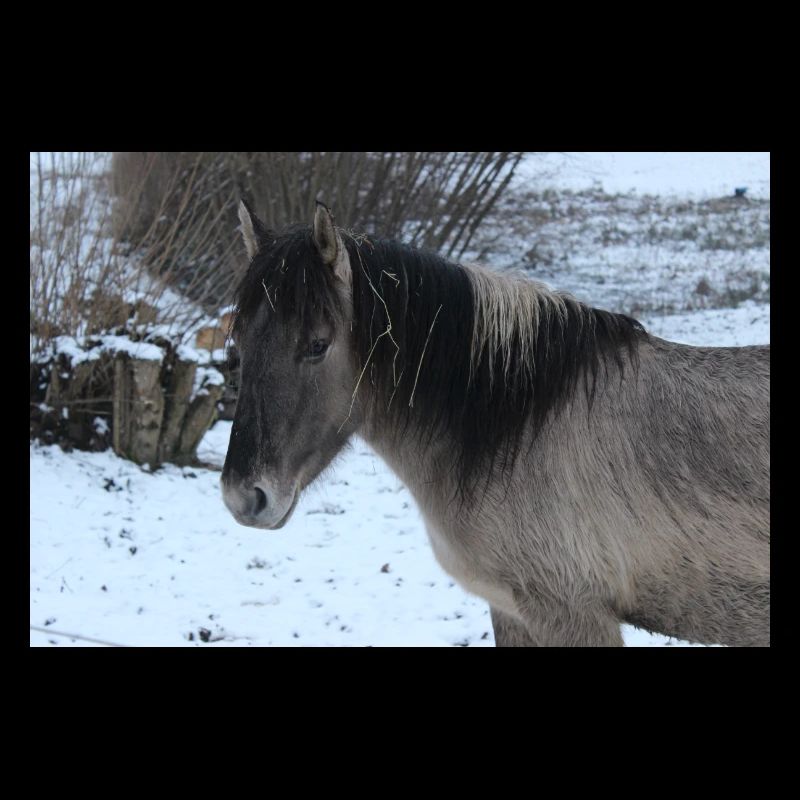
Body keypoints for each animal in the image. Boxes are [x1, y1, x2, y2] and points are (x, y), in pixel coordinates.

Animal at [221, 200, 770, 647]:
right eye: (240, 342)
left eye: (317, 344)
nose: (244, 497)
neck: (522, 430)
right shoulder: (511, 610)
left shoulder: (573, 615)